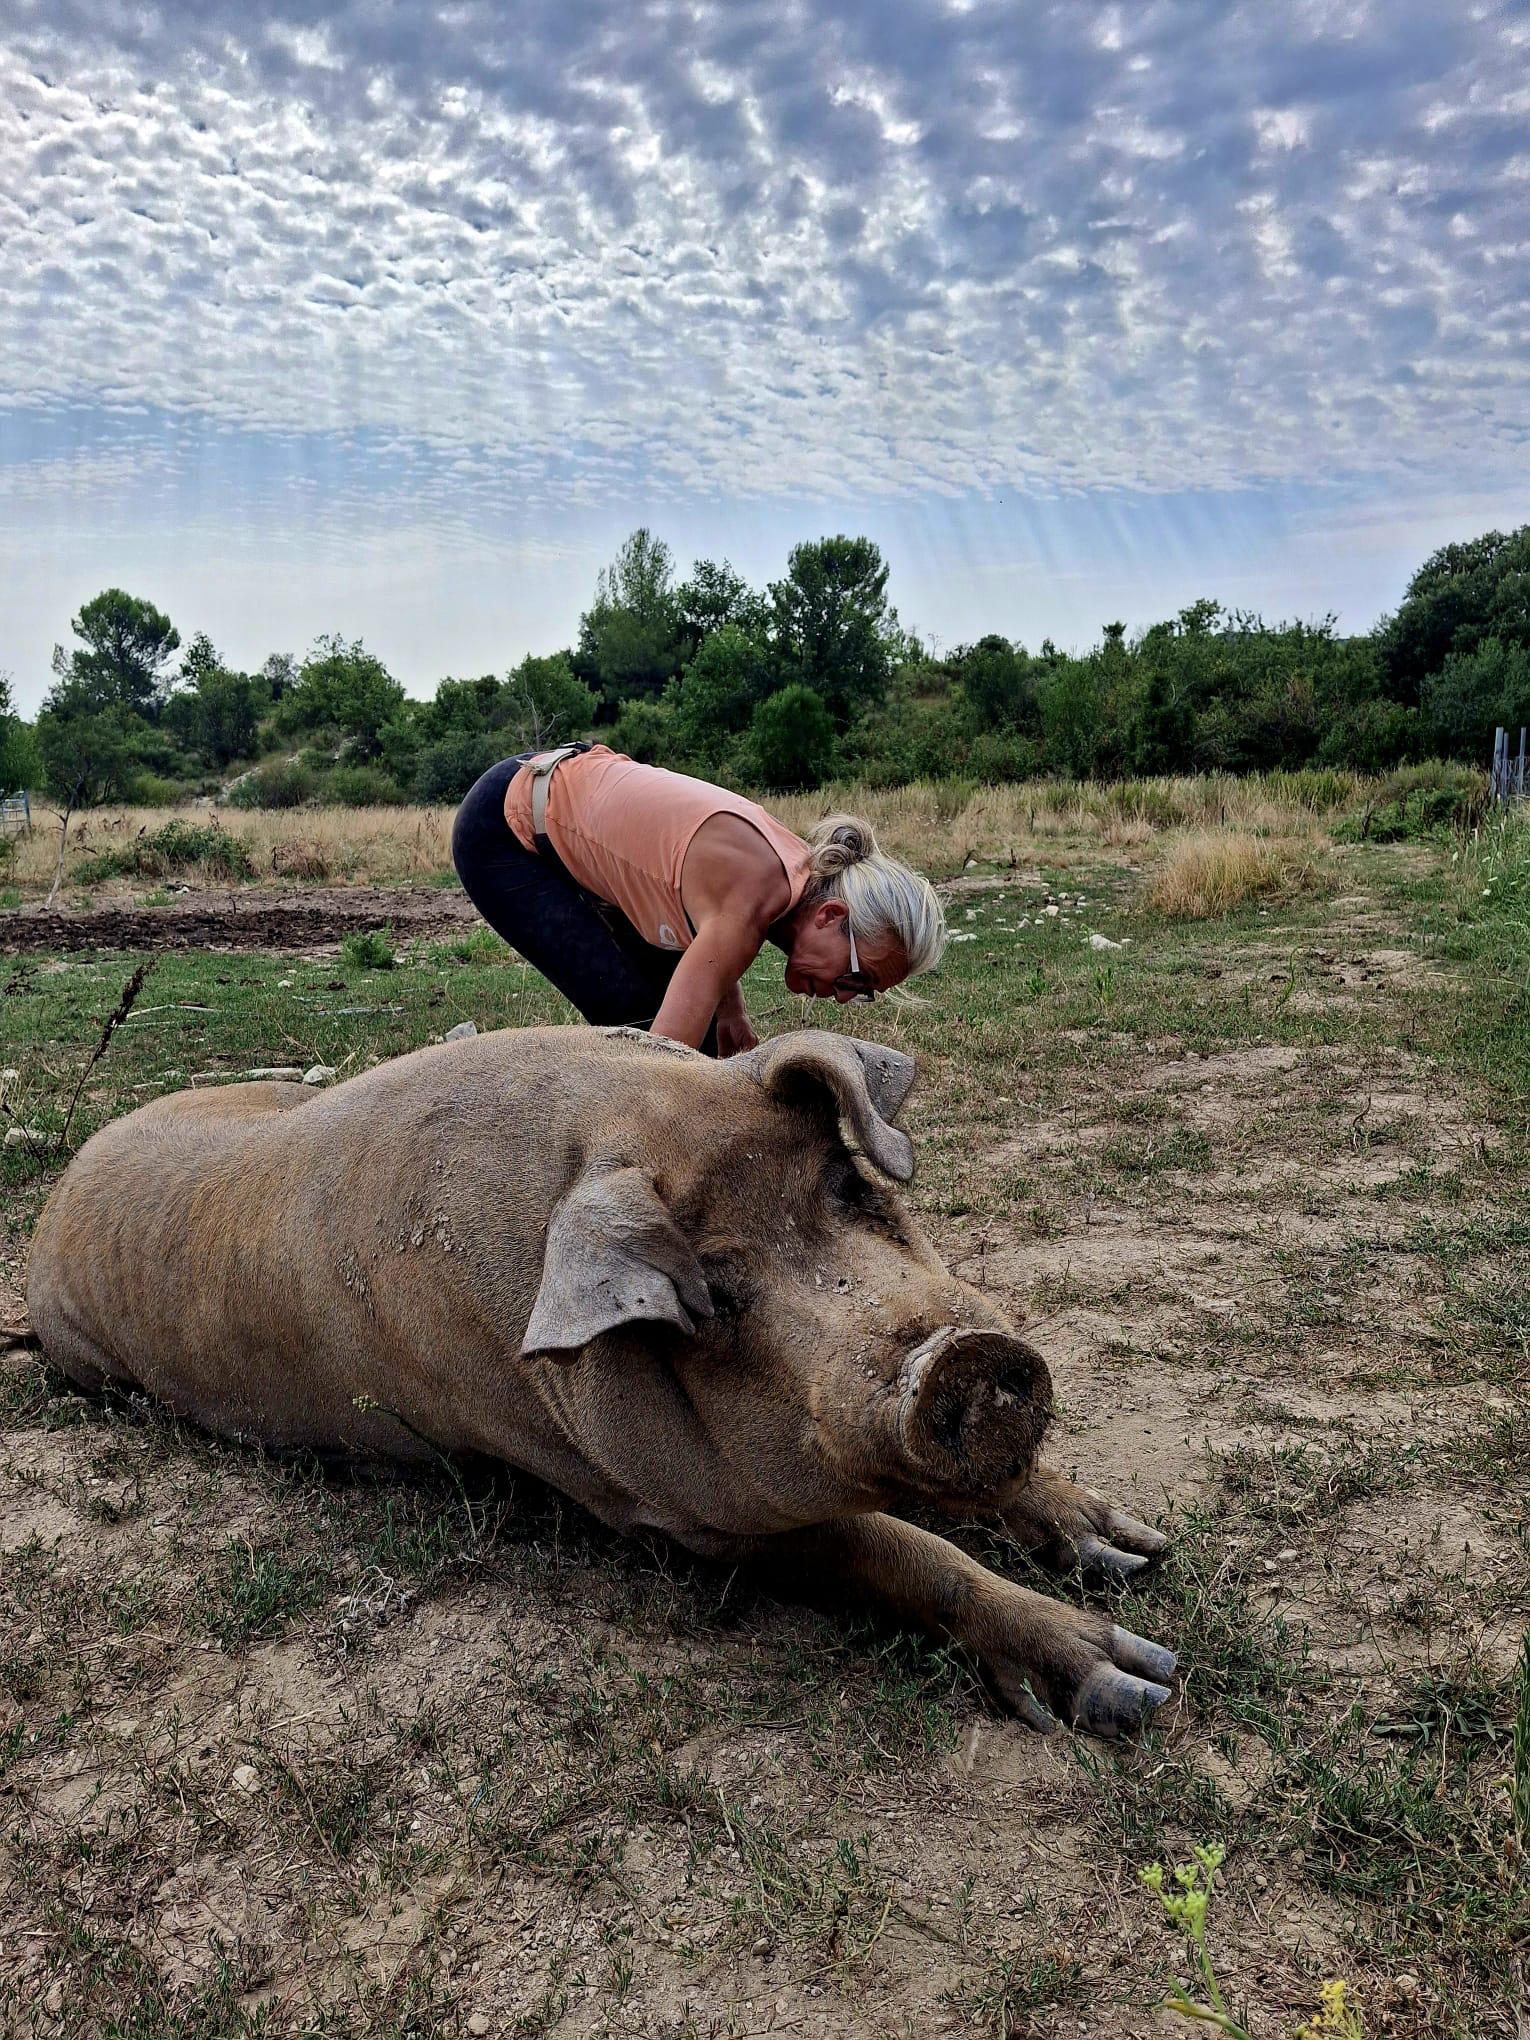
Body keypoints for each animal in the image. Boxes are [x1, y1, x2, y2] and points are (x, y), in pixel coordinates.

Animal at [25, 1025, 1176, 1736]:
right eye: (714, 1295)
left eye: (849, 1186)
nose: (960, 1360)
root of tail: (58, 1193)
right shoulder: (674, 1521)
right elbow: (895, 1548)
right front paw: (1143, 1683)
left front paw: (1136, 1551)